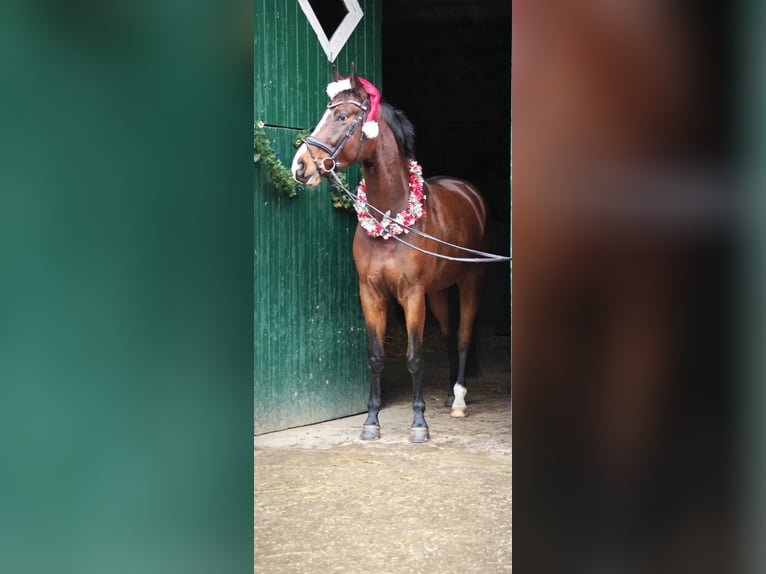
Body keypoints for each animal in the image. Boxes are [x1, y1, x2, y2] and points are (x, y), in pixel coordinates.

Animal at [292, 66, 488, 446]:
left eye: (341, 116)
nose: (300, 167)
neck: (389, 214)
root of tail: (467, 190)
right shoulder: (370, 293)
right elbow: (376, 356)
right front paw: (371, 421)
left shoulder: (411, 295)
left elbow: (414, 356)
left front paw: (419, 424)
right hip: (437, 292)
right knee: (447, 333)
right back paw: (447, 395)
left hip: (469, 282)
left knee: (462, 335)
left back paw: (458, 400)